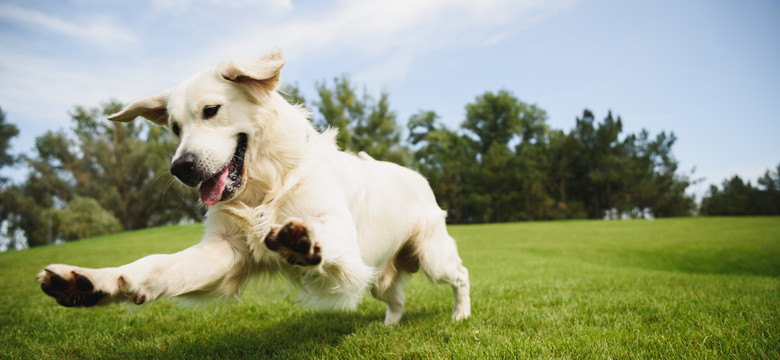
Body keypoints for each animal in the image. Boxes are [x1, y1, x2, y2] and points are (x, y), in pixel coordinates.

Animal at [36, 49, 470, 324]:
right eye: (175, 128)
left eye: (211, 110)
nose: (181, 168)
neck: (266, 187)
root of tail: (418, 176)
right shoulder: (224, 250)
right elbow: (154, 266)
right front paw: (91, 282)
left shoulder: (345, 243)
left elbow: (322, 237)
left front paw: (301, 242)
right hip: (380, 272)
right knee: (395, 297)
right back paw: (389, 325)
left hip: (432, 256)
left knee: (461, 275)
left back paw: (460, 315)